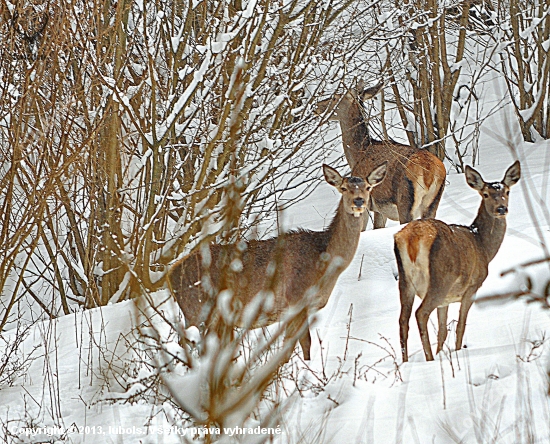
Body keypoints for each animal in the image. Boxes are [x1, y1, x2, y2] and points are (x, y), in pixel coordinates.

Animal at [170, 163, 390, 360]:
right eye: (343, 188)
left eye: (367, 187)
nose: (359, 201)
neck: (322, 261)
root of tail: (171, 273)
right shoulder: (295, 299)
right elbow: (304, 344)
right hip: (197, 309)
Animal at [314, 81, 448, 231]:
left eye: (335, 97)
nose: (316, 106)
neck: (359, 154)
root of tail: (430, 172)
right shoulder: (379, 209)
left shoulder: (366, 200)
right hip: (432, 204)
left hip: (405, 202)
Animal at [396, 161, 520, 362]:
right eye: (485, 194)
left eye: (507, 191)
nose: (501, 209)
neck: (483, 246)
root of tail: (412, 238)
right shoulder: (473, 286)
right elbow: (461, 325)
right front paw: (456, 351)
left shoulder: (446, 300)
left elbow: (442, 331)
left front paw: (442, 353)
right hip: (440, 279)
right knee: (421, 313)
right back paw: (429, 359)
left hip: (405, 281)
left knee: (402, 320)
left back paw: (405, 362)